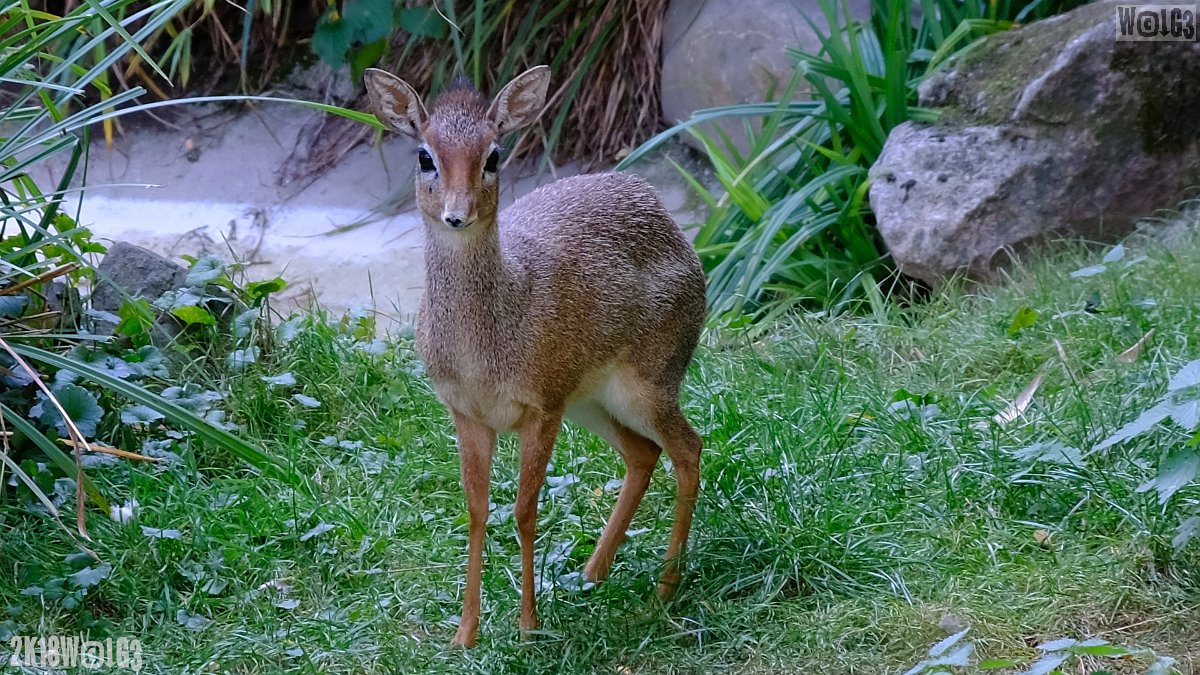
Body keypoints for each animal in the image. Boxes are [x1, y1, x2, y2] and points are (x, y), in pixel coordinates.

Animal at [363, 65, 706, 647]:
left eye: (494, 155)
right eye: (425, 156)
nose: (457, 215)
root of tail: (666, 216)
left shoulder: (540, 410)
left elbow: (524, 511)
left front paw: (527, 625)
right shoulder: (467, 415)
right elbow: (477, 510)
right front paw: (465, 633)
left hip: (648, 383)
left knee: (688, 448)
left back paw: (663, 590)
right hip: (591, 402)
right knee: (643, 454)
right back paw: (592, 572)